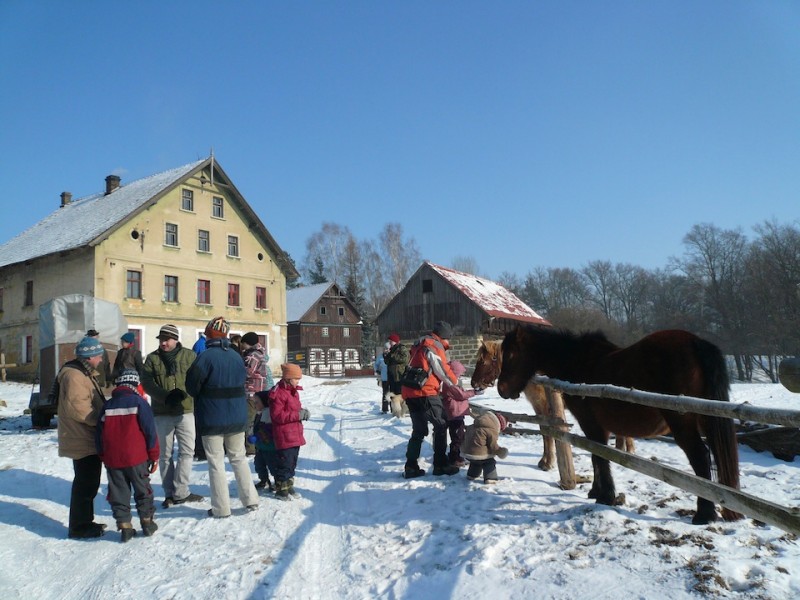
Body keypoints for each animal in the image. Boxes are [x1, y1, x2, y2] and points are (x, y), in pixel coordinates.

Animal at [472, 340, 636, 472]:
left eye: (483, 361)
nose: (474, 384)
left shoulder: (548, 409)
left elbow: (550, 434)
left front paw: (549, 463)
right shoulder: (539, 409)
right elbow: (544, 433)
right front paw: (544, 461)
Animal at [496, 324, 740, 524]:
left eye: (511, 354)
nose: (502, 389)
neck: (578, 361)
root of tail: (695, 342)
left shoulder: (592, 423)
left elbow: (600, 457)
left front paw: (606, 496)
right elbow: (596, 456)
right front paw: (596, 492)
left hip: (683, 424)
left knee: (700, 457)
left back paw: (704, 514)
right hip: (707, 420)